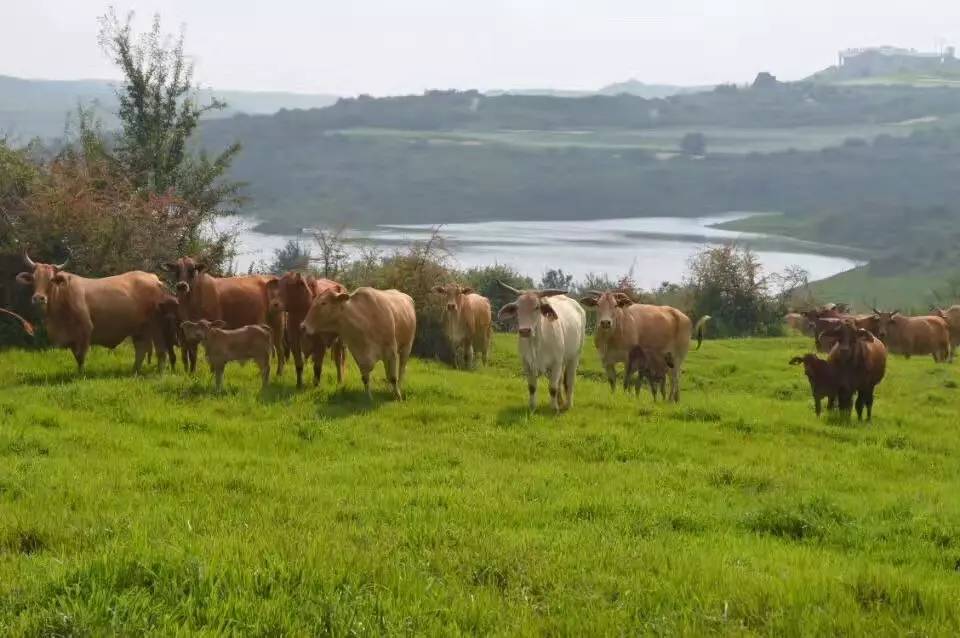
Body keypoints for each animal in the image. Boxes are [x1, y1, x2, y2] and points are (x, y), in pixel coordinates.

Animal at [15, 254, 172, 376]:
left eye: (51, 279)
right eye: (34, 278)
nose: (39, 298)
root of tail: (154, 279)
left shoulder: (85, 331)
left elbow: (81, 356)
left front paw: (81, 375)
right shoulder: (72, 338)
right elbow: (76, 356)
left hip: (157, 326)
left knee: (160, 350)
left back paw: (160, 372)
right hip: (140, 329)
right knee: (141, 350)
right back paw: (134, 372)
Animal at [496, 282, 584, 416]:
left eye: (537, 307)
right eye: (517, 308)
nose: (525, 331)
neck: (536, 343)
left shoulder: (556, 363)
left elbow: (552, 388)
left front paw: (554, 409)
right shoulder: (527, 364)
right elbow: (532, 387)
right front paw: (532, 407)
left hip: (574, 357)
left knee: (569, 381)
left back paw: (567, 405)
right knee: (560, 381)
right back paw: (560, 401)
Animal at [572, 292, 708, 402]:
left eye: (615, 305)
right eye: (598, 304)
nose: (605, 322)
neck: (611, 338)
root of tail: (683, 316)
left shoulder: (629, 360)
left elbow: (626, 381)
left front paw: (626, 396)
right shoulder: (605, 359)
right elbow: (612, 381)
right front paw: (614, 395)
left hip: (677, 357)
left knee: (675, 378)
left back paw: (671, 400)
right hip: (668, 360)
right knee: (672, 377)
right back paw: (675, 399)